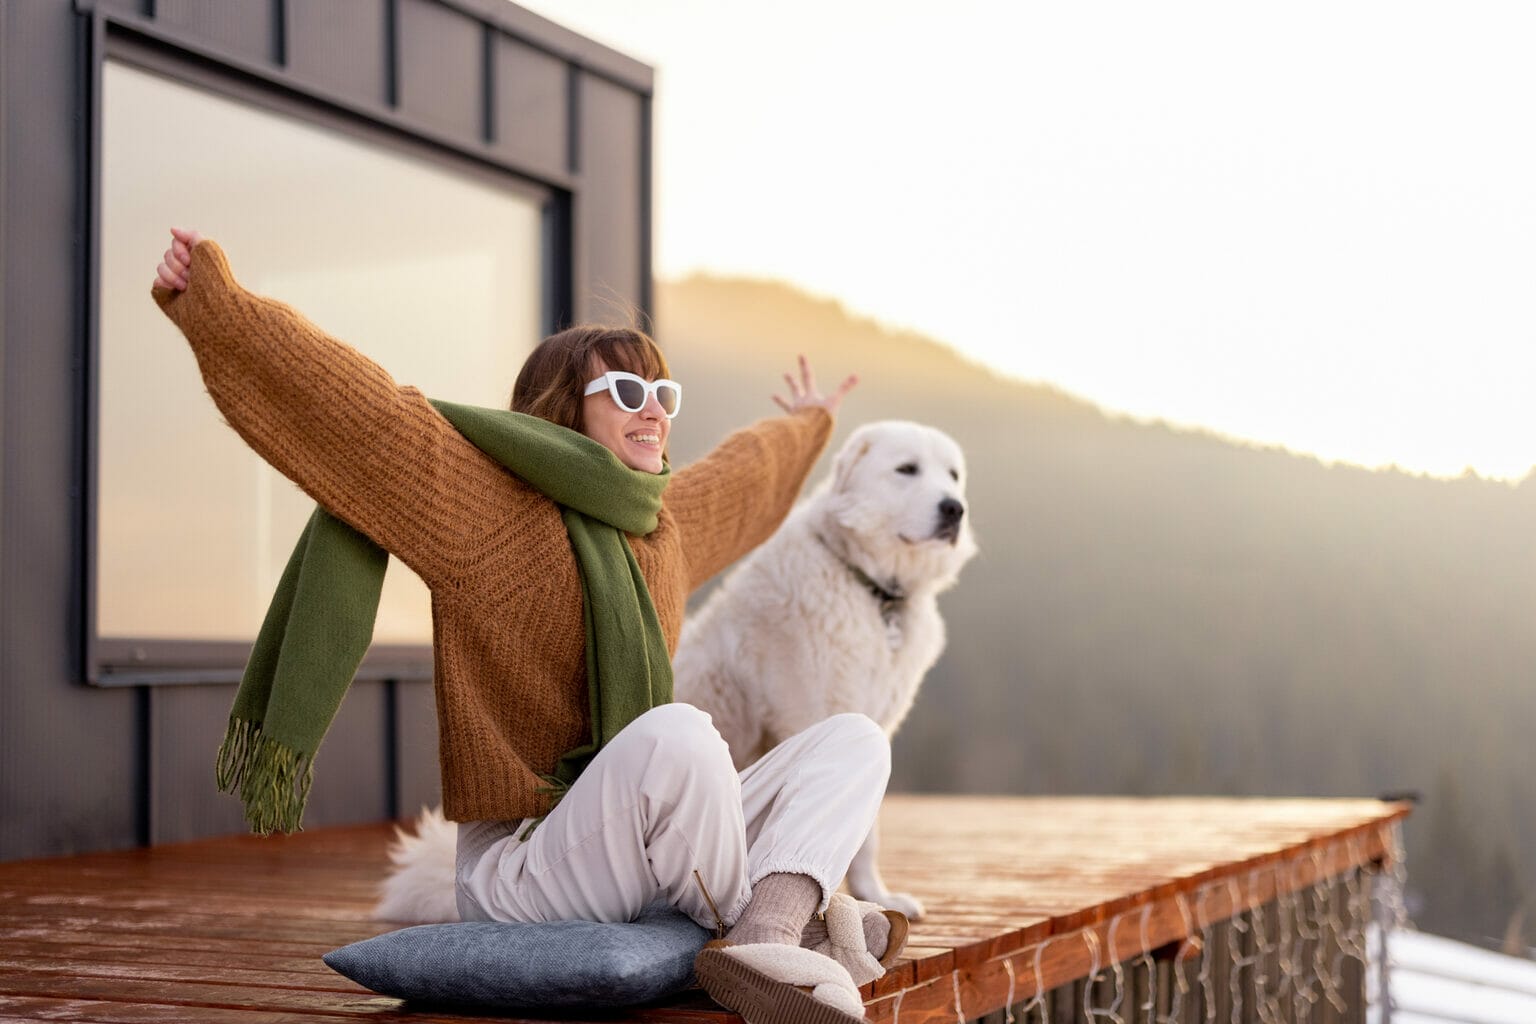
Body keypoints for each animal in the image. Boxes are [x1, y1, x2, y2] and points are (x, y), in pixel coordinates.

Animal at [672, 420, 970, 914]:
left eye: (954, 475)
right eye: (907, 469)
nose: (955, 509)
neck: (871, 587)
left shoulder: (875, 727)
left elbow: (868, 829)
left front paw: (876, 895)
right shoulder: (820, 714)